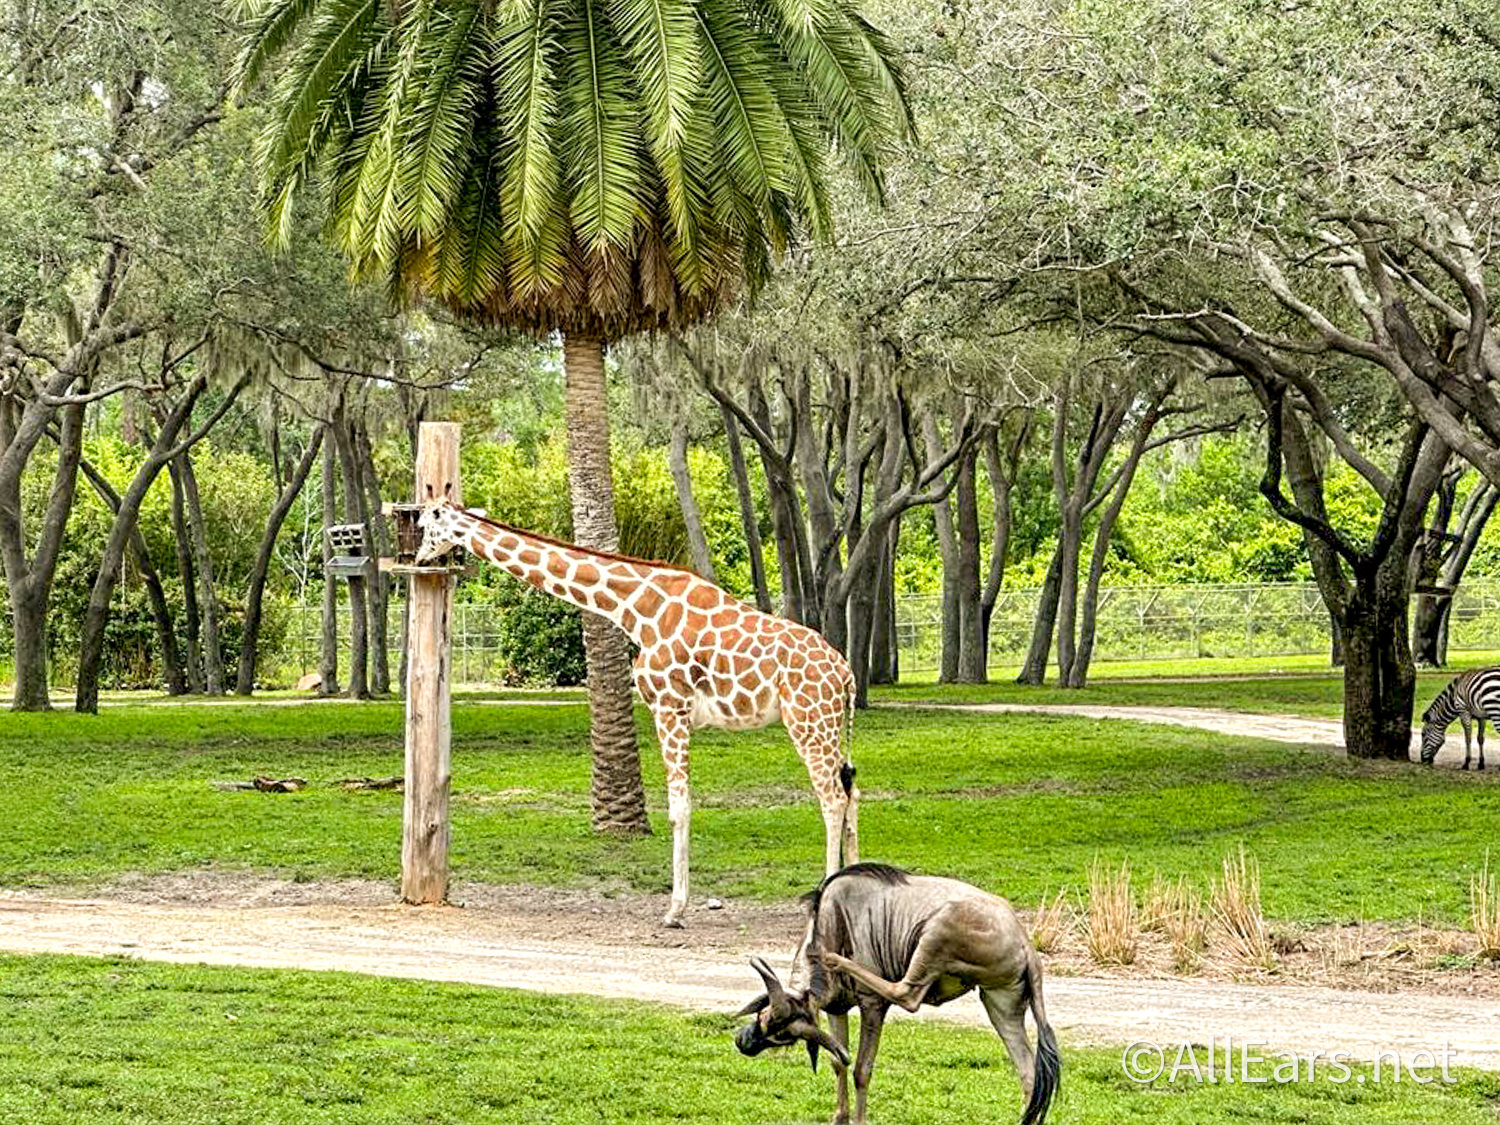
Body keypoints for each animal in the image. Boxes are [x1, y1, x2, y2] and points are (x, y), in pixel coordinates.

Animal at [414, 501, 858, 924]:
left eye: (424, 526)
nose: (418, 558)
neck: (633, 608)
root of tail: (847, 674)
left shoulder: (669, 706)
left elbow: (679, 808)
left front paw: (675, 910)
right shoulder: (674, 711)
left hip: (807, 721)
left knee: (832, 799)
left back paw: (825, 895)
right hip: (831, 725)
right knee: (852, 793)